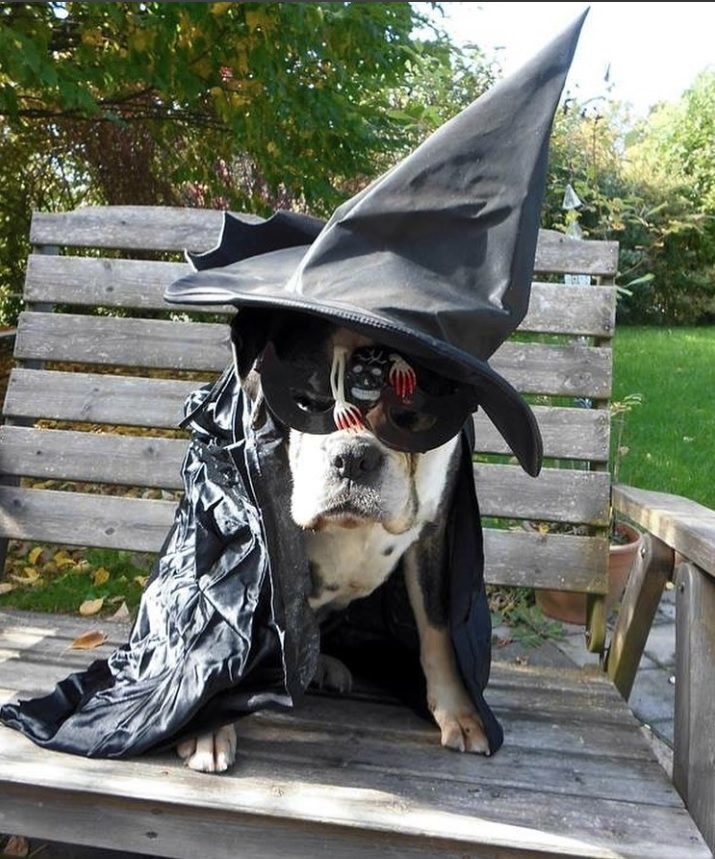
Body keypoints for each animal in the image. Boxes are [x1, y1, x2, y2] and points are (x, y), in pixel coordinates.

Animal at [178, 316, 492, 772]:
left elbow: (437, 630)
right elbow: (227, 623)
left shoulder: (435, 535)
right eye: (308, 404)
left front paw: (459, 711)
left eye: (406, 416)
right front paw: (206, 725)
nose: (355, 457)